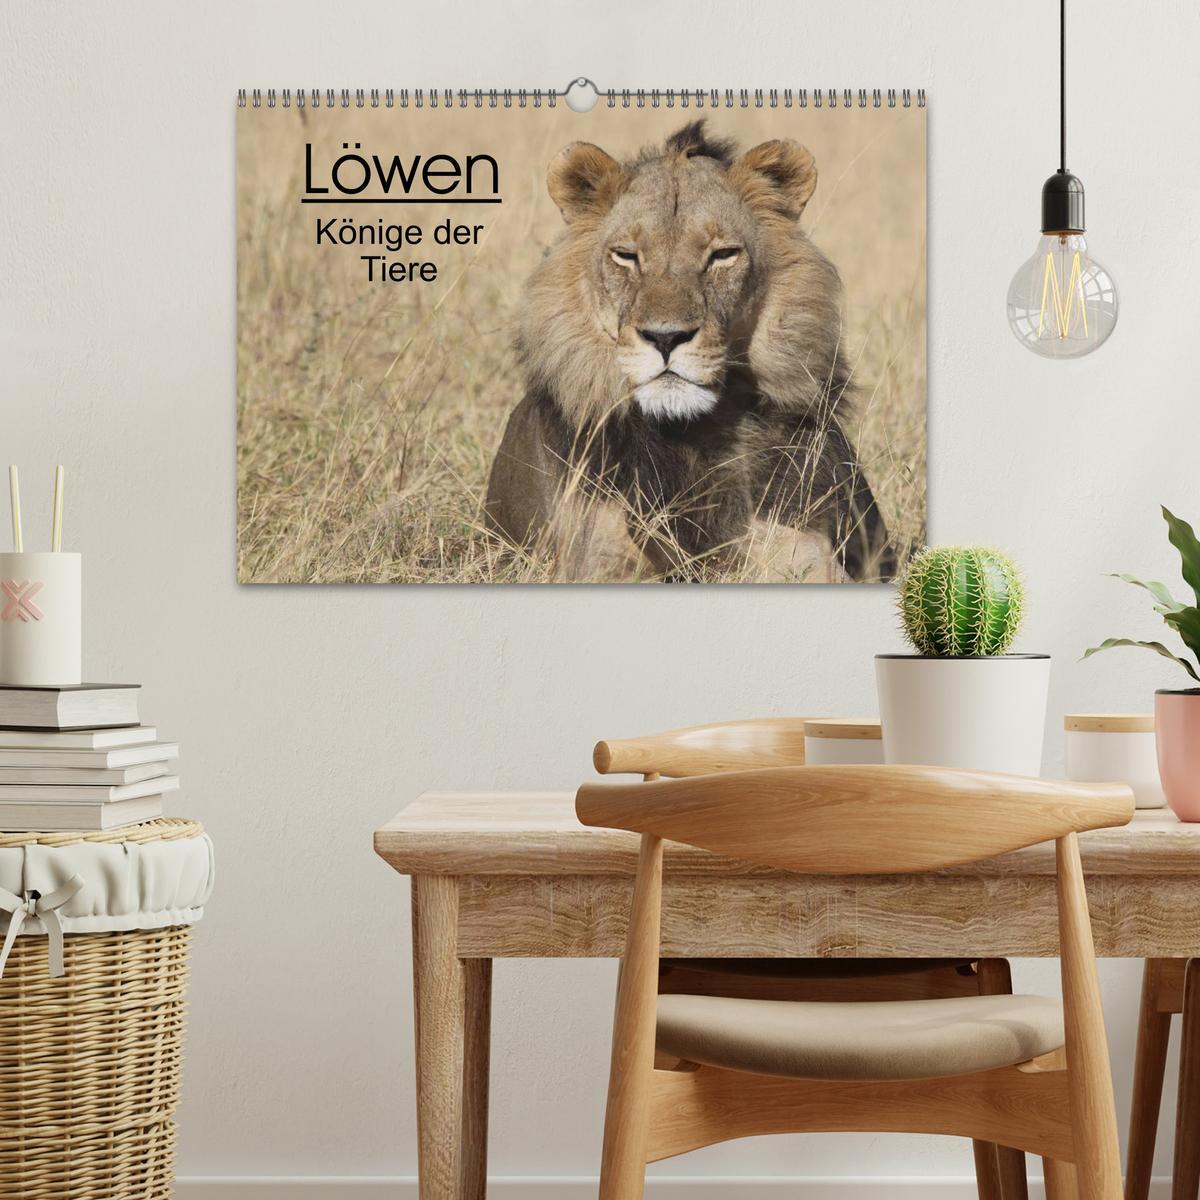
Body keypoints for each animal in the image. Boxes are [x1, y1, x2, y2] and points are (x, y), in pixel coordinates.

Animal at [485, 120, 896, 583]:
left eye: (723, 255)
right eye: (626, 256)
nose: (665, 338)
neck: (688, 435)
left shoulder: (805, 552)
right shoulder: (590, 560)